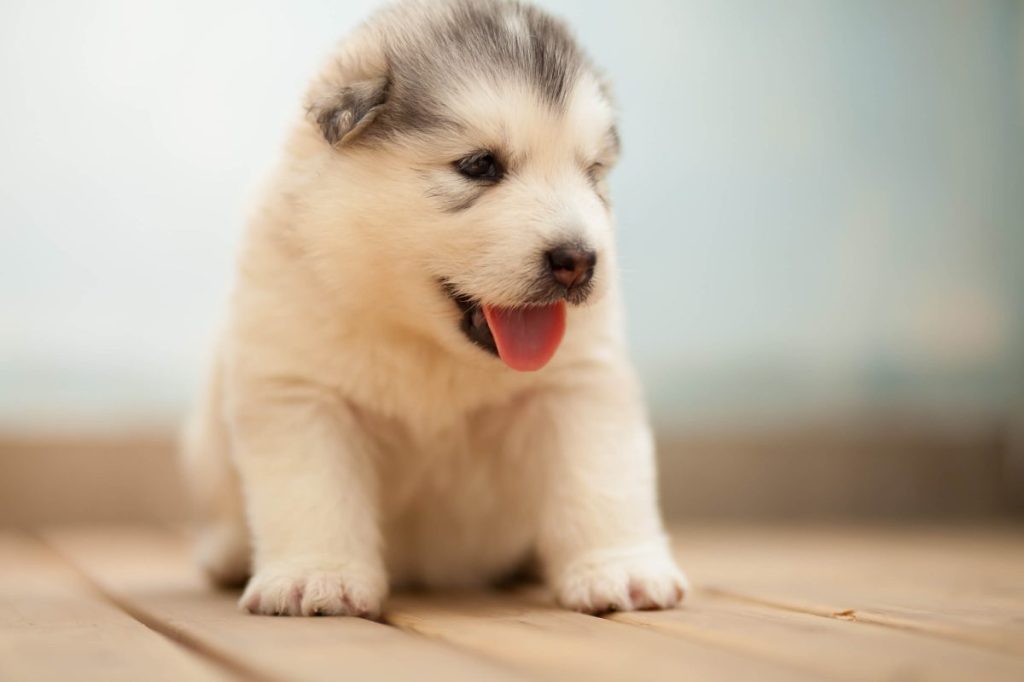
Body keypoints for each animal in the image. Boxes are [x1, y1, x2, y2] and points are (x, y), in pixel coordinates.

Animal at [184, 0, 688, 614]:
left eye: (592, 172)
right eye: (479, 165)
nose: (579, 260)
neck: (426, 343)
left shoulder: (578, 387)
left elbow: (601, 479)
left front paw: (621, 570)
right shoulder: (301, 393)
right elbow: (313, 492)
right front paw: (316, 577)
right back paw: (229, 553)